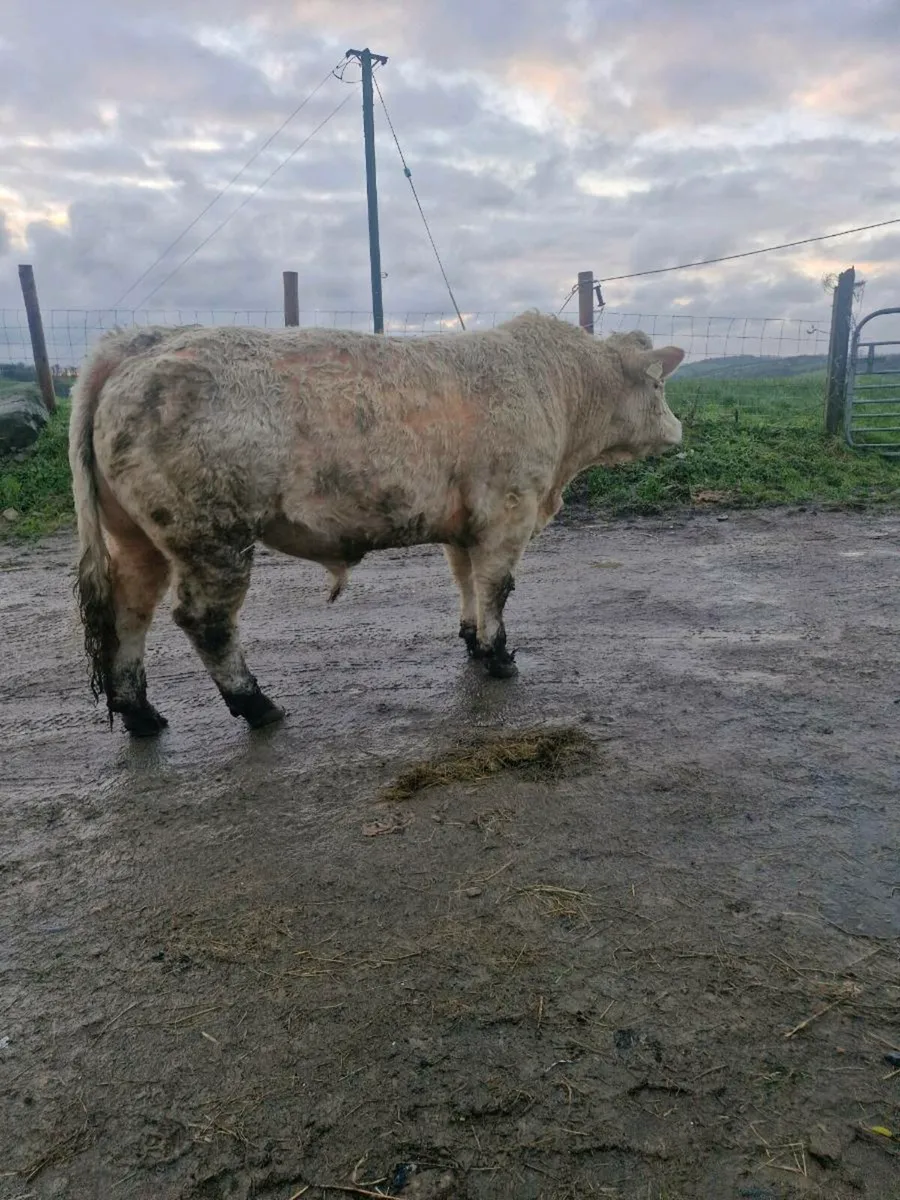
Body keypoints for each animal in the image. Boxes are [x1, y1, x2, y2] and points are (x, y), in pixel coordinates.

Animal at [69, 313, 684, 735]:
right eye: (659, 386)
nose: (679, 431)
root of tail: (138, 343)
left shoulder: (466, 521)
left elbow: (464, 578)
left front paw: (470, 640)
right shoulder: (510, 508)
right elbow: (497, 587)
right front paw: (499, 656)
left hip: (137, 537)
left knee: (129, 612)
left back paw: (141, 714)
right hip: (210, 536)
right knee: (206, 622)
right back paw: (256, 705)